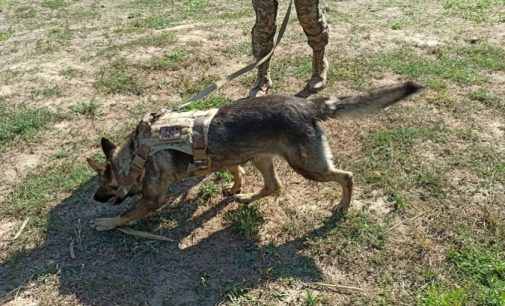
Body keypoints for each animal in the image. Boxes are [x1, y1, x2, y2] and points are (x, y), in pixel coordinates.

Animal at [86, 81, 422, 230]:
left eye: (108, 186)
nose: (95, 199)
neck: (138, 154)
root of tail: (307, 105)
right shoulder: (230, 159)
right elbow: (236, 171)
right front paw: (236, 187)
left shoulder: (152, 199)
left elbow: (130, 213)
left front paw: (107, 222)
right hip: (264, 158)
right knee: (274, 186)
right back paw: (246, 197)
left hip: (307, 166)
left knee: (346, 177)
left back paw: (342, 205)